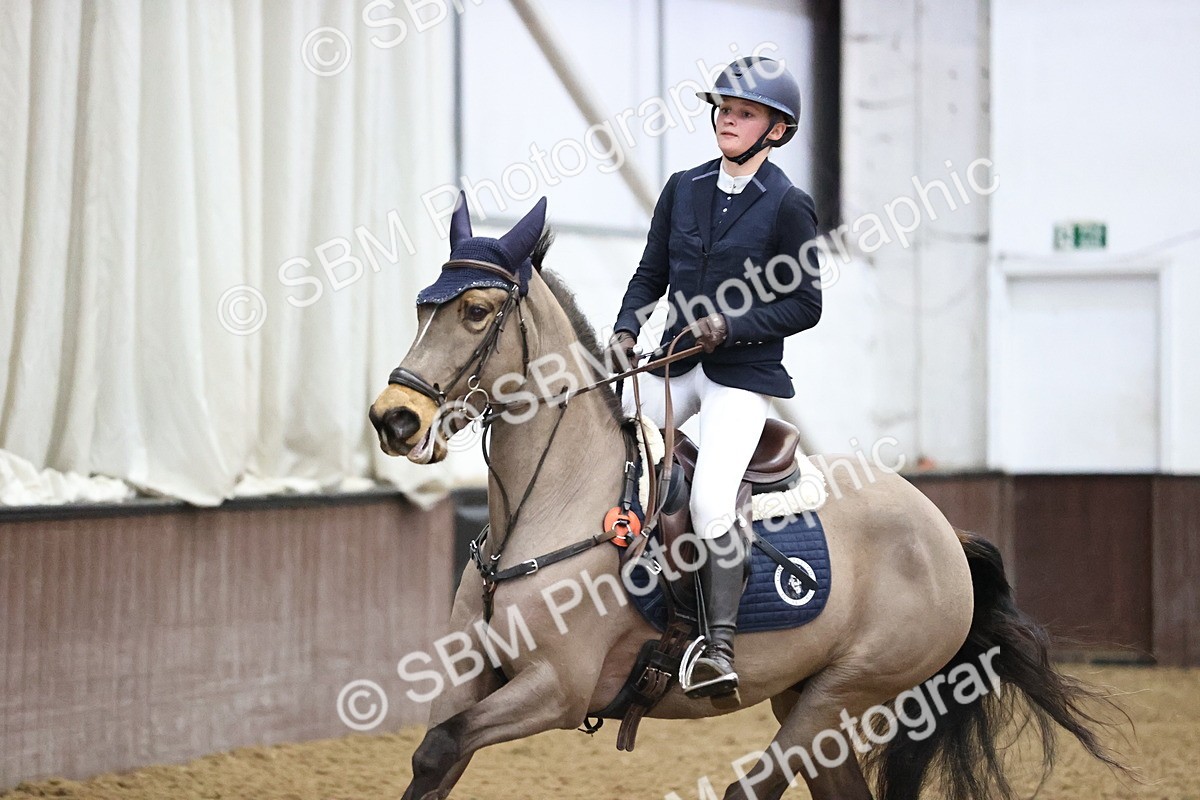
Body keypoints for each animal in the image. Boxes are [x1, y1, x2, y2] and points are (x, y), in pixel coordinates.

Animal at [368, 198, 1123, 800]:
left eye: (475, 311)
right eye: (422, 305)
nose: (394, 418)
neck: (551, 505)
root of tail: (943, 533)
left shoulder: (558, 687)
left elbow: (442, 745)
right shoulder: (470, 678)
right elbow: (434, 759)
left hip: (843, 689)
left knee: (751, 790)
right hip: (809, 695)